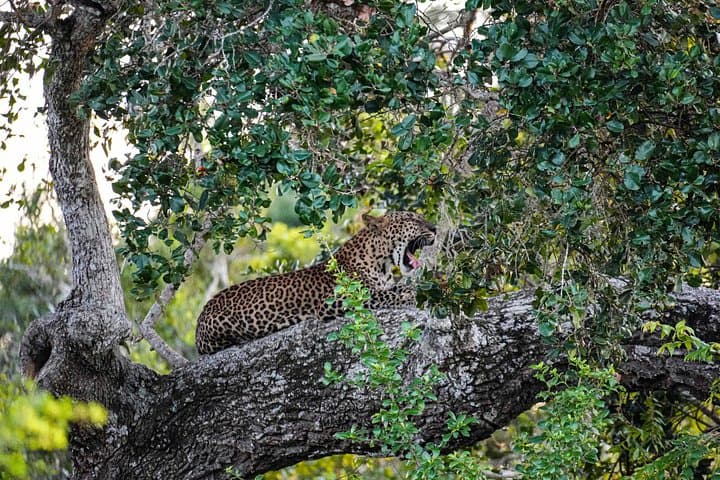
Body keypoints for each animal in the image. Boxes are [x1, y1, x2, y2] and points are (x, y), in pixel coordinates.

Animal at [195, 211, 436, 354]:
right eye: (412, 219)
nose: (434, 228)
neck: (381, 263)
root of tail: (200, 319)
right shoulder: (338, 300)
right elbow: (389, 293)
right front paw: (410, 297)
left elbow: (397, 288)